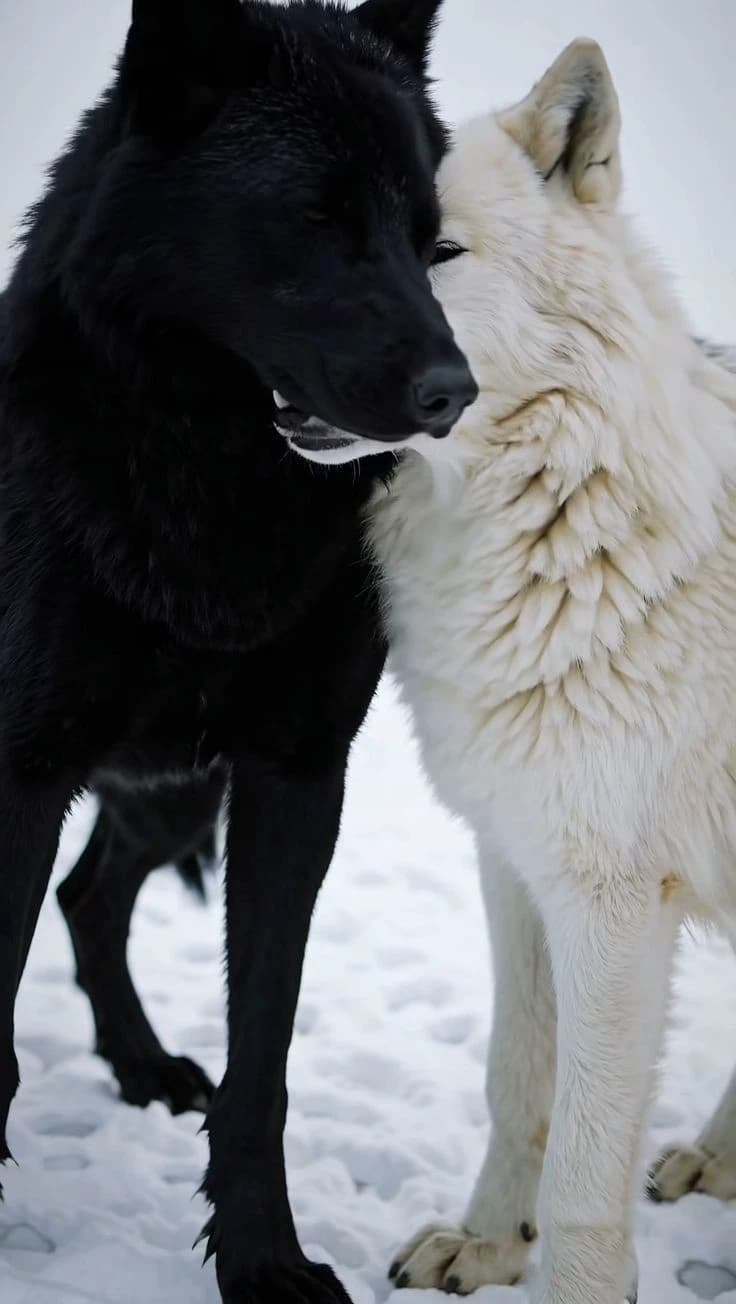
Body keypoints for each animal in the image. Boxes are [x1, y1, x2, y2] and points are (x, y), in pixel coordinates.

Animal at [0, 1, 477, 1300]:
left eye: (429, 238)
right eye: (314, 217)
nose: (455, 392)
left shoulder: (294, 777)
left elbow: (262, 1055)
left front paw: (263, 1257)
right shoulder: (23, 775)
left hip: (170, 789)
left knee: (89, 895)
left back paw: (144, 1064)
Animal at [291, 38, 736, 1304]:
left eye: (435, 250)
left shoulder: (610, 898)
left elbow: (585, 1158)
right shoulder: (514, 860)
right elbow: (516, 1081)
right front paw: (487, 1244)